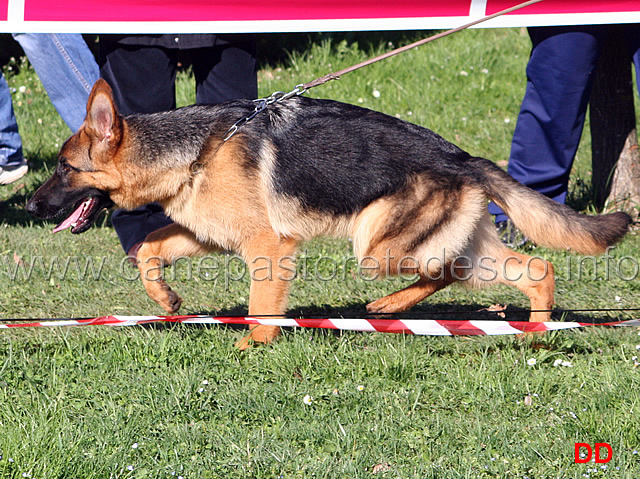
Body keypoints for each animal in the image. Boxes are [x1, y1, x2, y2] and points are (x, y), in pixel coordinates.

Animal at [26, 79, 632, 348]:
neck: (196, 149)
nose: (31, 204)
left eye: (64, 167)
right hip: (449, 245)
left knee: (445, 271)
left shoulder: (267, 248)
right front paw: (166, 299)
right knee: (530, 270)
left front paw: (253, 346)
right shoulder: (211, 235)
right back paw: (532, 333)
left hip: (378, 246)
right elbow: (146, 247)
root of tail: (463, 158)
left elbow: (260, 307)